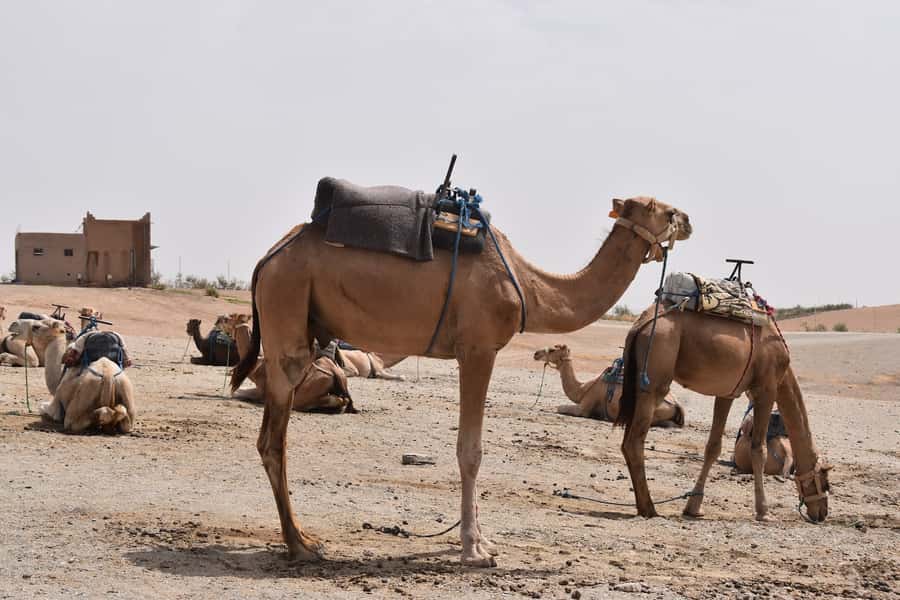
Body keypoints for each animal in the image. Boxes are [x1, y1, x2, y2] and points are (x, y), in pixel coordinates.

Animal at [533, 344, 683, 427]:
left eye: (552, 350)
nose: (536, 353)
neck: (583, 389)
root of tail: (676, 404)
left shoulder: (585, 406)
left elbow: (560, 407)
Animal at [615, 306, 831, 523]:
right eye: (825, 480)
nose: (822, 513)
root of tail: (640, 325)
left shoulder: (727, 392)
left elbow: (713, 447)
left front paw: (693, 507)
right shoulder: (767, 389)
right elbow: (759, 450)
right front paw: (764, 512)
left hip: (637, 382)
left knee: (626, 442)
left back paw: (643, 506)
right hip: (656, 372)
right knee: (634, 441)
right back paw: (649, 508)